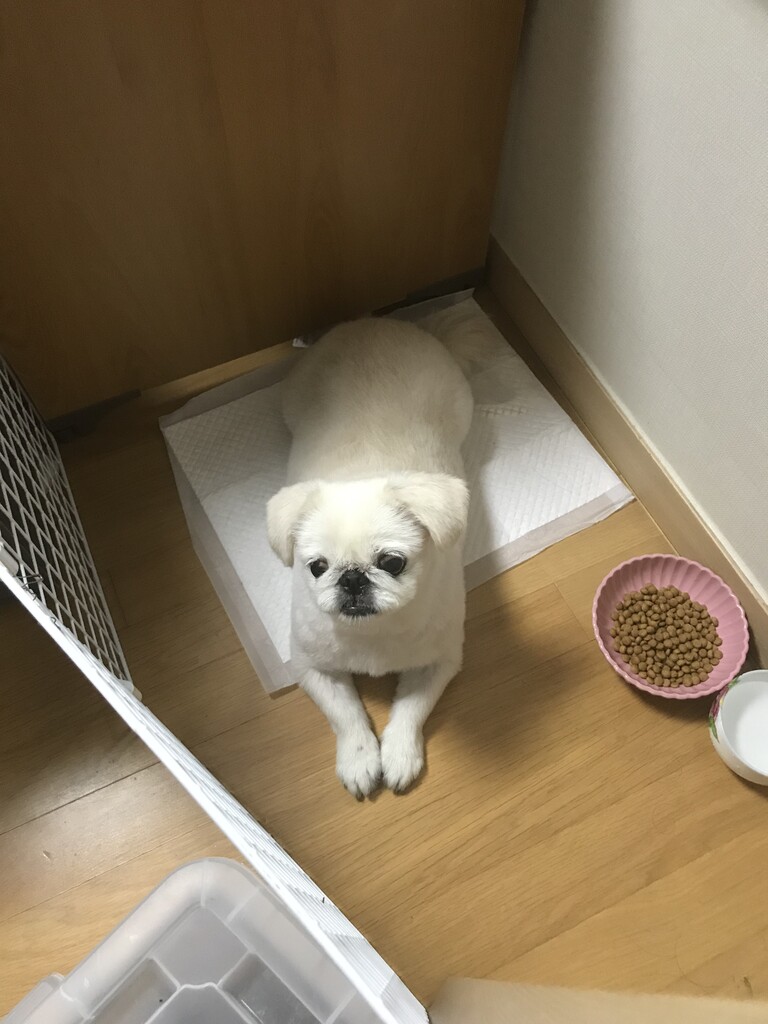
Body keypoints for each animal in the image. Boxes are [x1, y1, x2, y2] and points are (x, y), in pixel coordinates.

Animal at [267, 317, 473, 797]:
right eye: (317, 567)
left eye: (392, 562)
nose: (353, 578)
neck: (373, 633)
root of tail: (371, 322)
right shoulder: (312, 668)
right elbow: (346, 716)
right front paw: (360, 760)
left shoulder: (440, 661)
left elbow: (412, 709)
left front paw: (398, 754)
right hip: (290, 401)